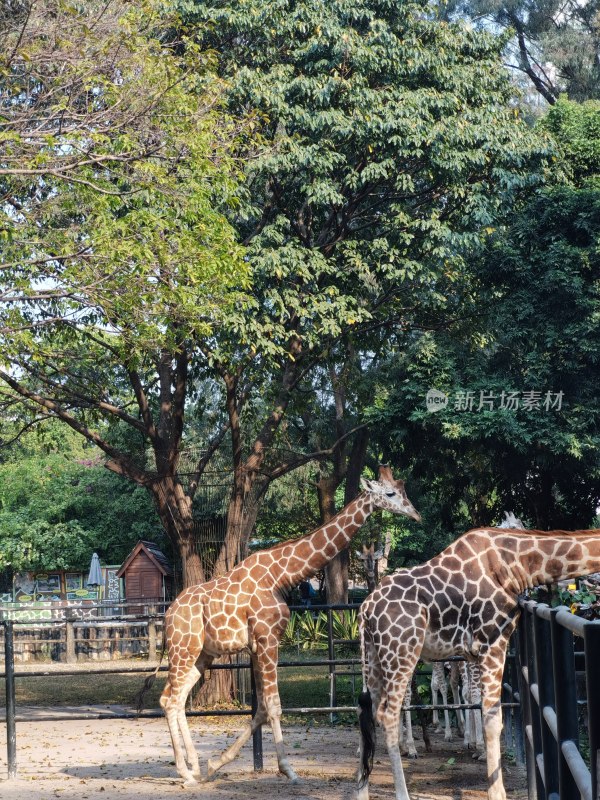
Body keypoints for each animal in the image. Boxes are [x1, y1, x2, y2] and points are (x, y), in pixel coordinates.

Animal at [157, 466, 420, 784]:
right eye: (391, 493)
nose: (416, 514)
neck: (282, 574)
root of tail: (168, 616)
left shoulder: (258, 645)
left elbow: (261, 708)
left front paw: (216, 762)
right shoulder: (268, 639)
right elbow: (274, 705)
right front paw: (289, 770)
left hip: (202, 654)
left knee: (177, 697)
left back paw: (195, 766)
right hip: (184, 648)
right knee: (170, 699)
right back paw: (185, 771)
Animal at [354, 524, 600, 800]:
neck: (517, 565)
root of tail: (365, 610)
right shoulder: (492, 643)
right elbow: (493, 719)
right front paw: (497, 792)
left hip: (375, 656)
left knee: (366, 710)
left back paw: (360, 792)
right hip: (401, 652)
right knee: (388, 715)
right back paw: (403, 789)